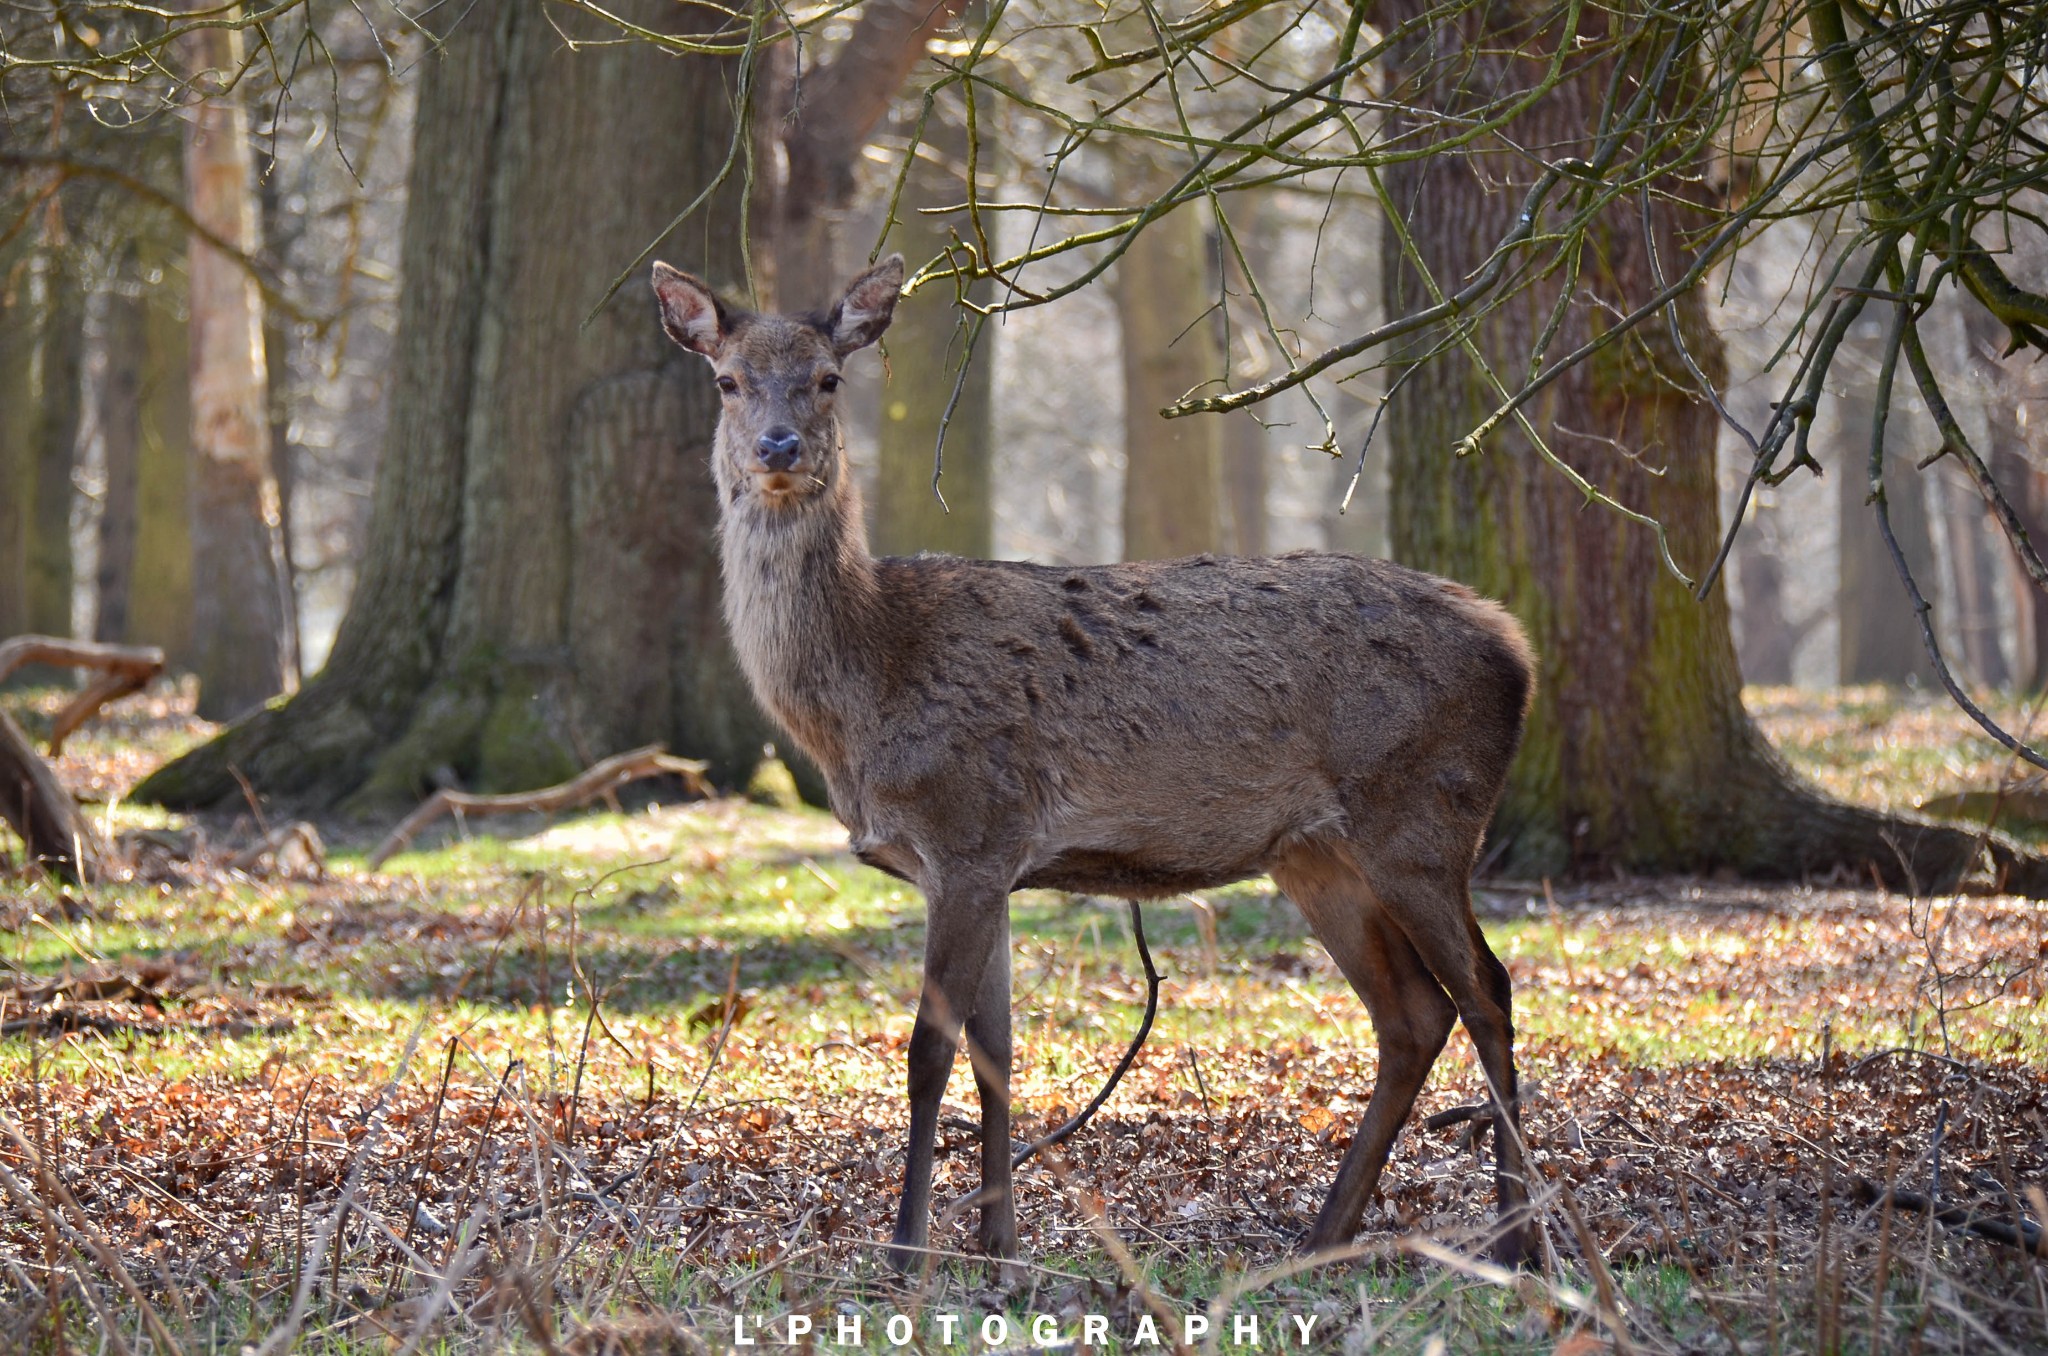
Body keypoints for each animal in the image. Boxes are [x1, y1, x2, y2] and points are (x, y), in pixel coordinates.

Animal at [651, 251, 1540, 1278]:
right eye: (727, 381)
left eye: (829, 378)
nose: (780, 446)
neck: (865, 696)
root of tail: (1519, 651)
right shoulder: (985, 863)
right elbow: (995, 1050)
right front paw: (997, 1248)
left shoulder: (969, 831)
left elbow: (926, 1053)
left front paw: (908, 1255)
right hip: (1317, 854)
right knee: (1412, 1015)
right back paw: (1325, 1234)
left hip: (1423, 820)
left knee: (1487, 991)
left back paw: (1521, 1237)